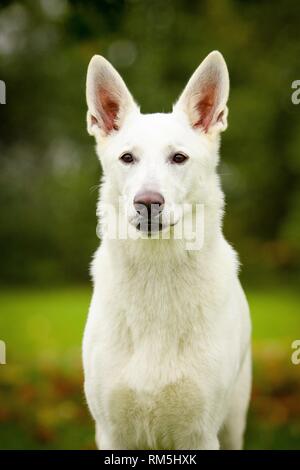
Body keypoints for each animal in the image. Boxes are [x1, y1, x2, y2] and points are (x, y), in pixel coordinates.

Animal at [82, 49, 251, 450]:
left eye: (179, 158)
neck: (156, 273)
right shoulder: (111, 433)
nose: (147, 203)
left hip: (233, 424)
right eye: (127, 158)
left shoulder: (201, 435)